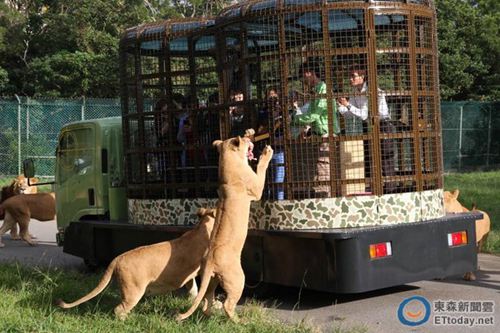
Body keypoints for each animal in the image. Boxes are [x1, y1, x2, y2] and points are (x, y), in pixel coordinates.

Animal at [56, 208, 217, 320]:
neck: (201, 228)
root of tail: (117, 259)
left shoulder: (188, 273)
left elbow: (193, 287)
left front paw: (193, 298)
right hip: (133, 292)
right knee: (118, 309)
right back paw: (127, 319)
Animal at [177, 130, 274, 322]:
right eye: (244, 139)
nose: (250, 133)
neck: (227, 161)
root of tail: (210, 262)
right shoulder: (256, 188)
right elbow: (261, 168)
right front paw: (266, 153)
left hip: (213, 280)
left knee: (207, 298)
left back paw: (210, 316)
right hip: (237, 279)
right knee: (228, 304)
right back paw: (240, 321)